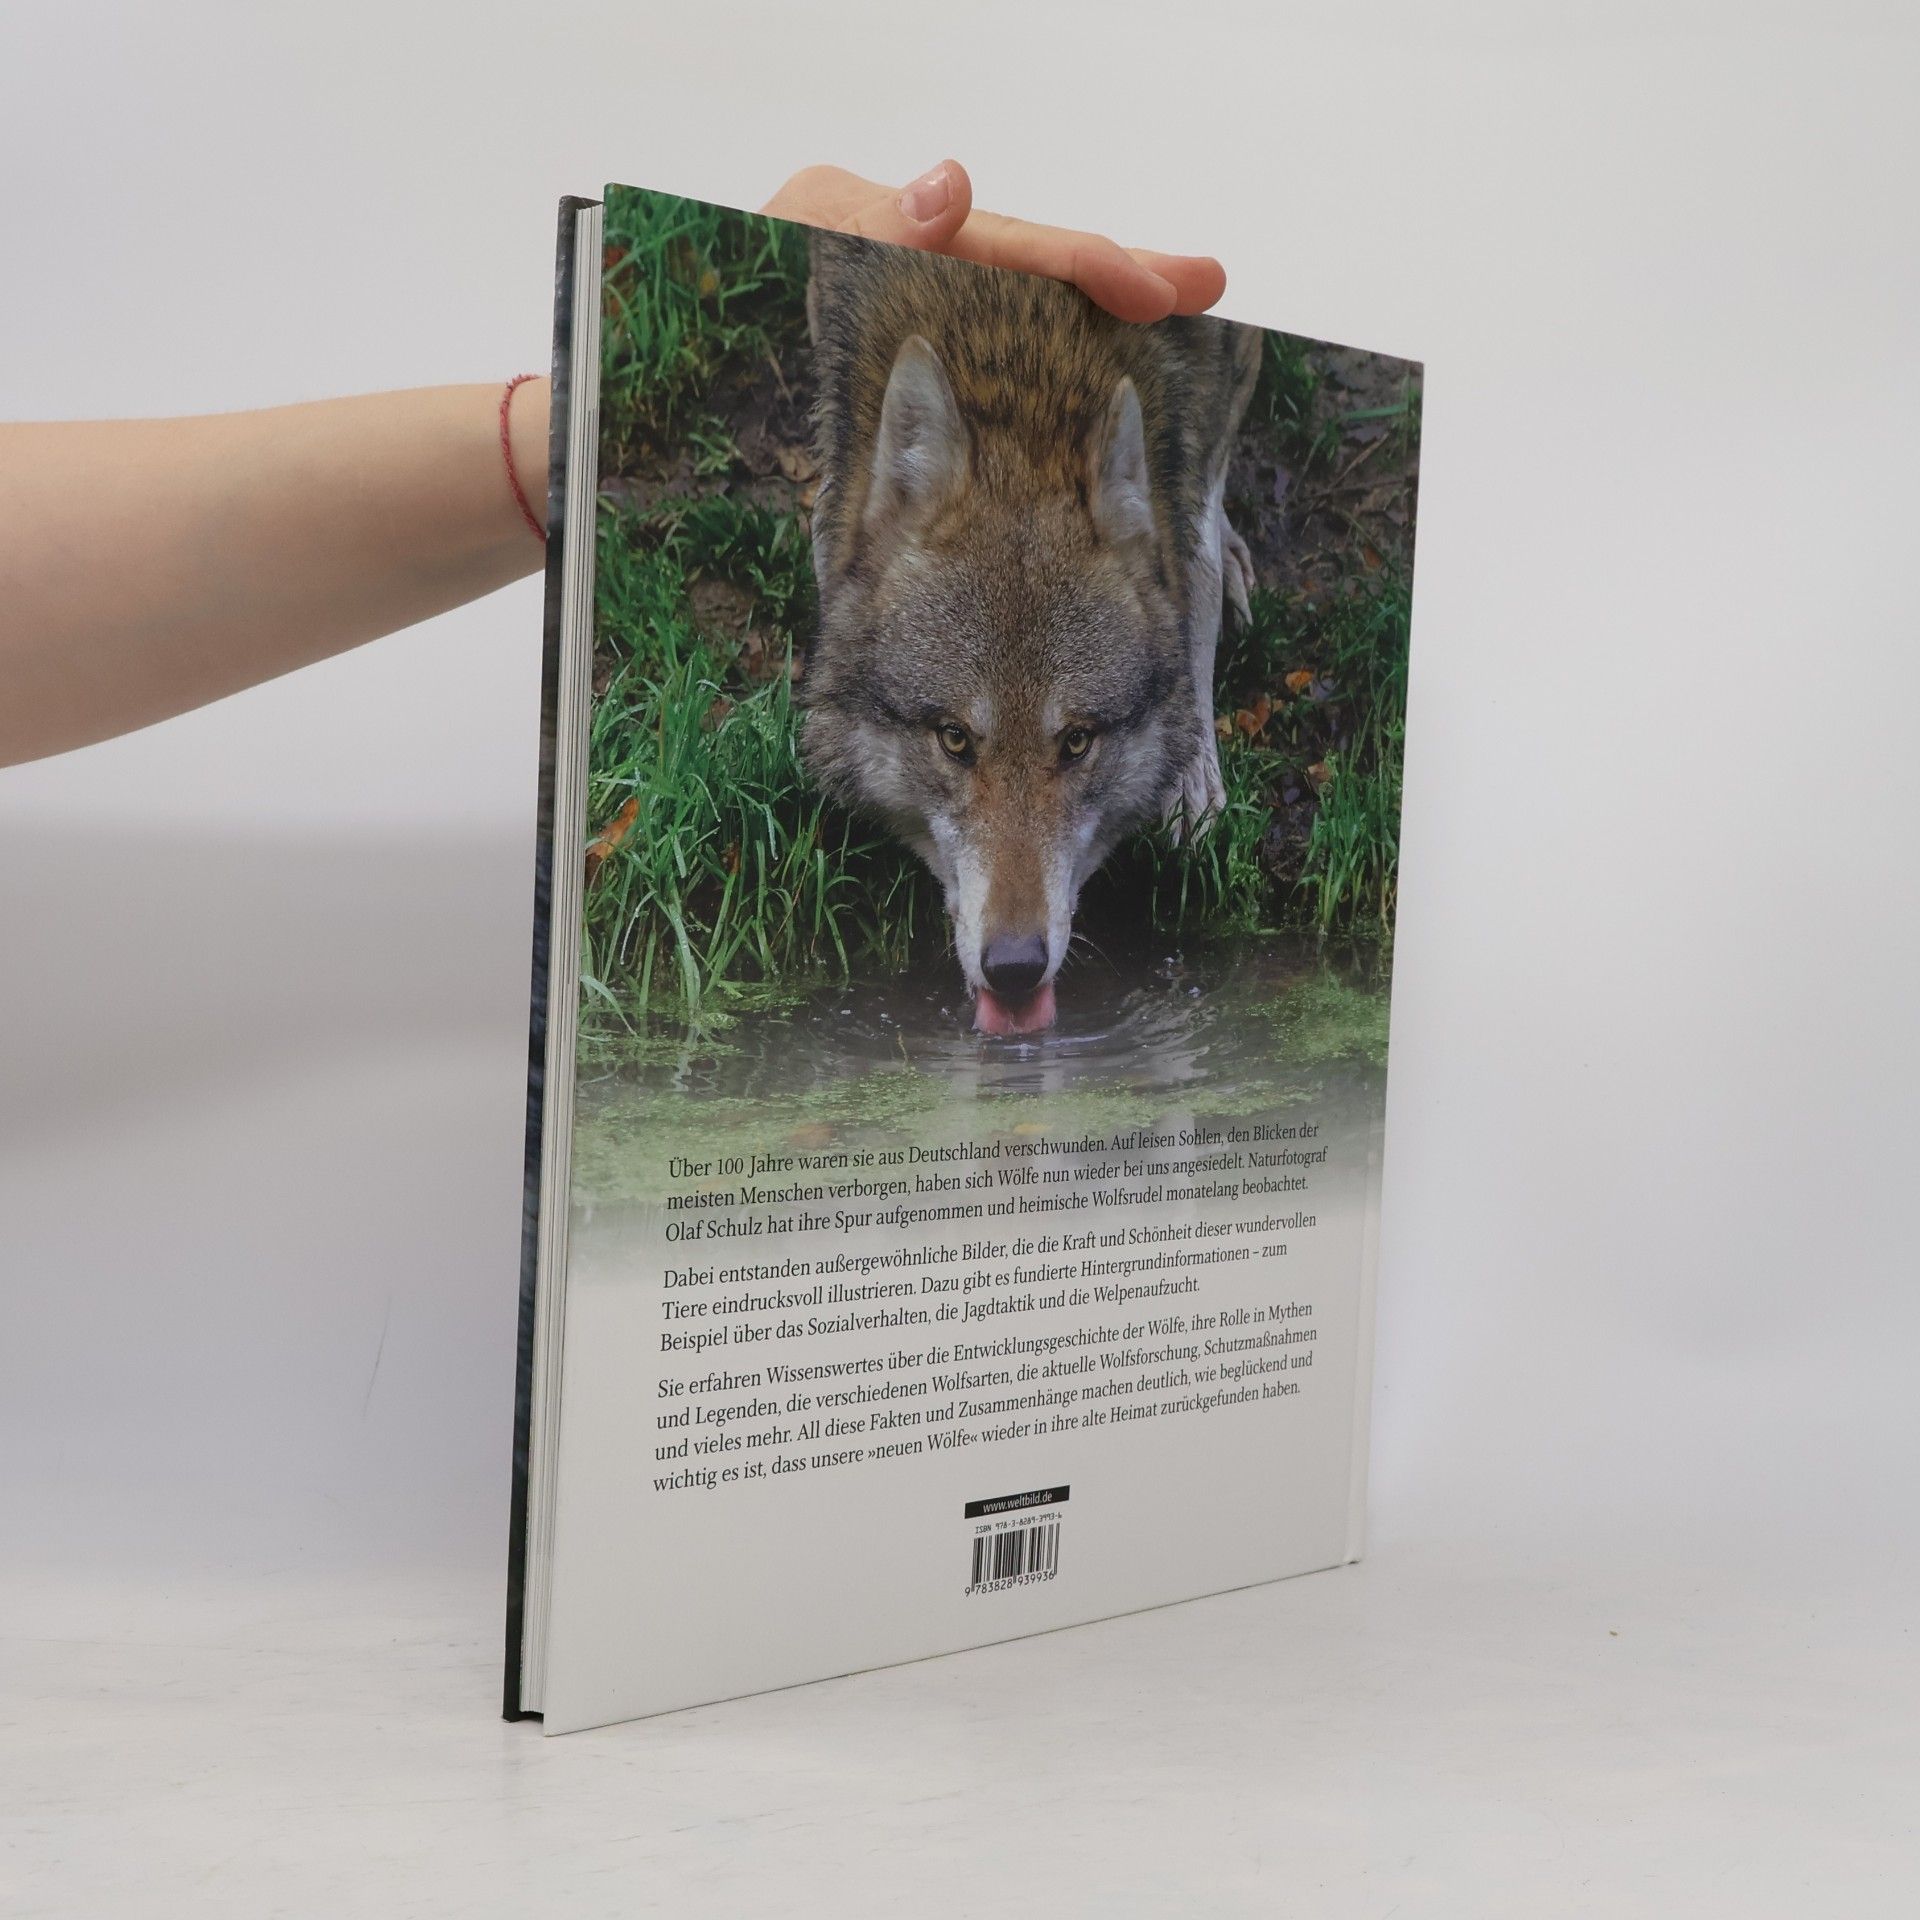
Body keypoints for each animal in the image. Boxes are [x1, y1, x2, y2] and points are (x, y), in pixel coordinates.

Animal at [801, 231, 1261, 1035]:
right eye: (955, 739)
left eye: (1076, 741)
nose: (1013, 968)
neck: (1018, 368)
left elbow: (1194, 569)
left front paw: (1192, 768)